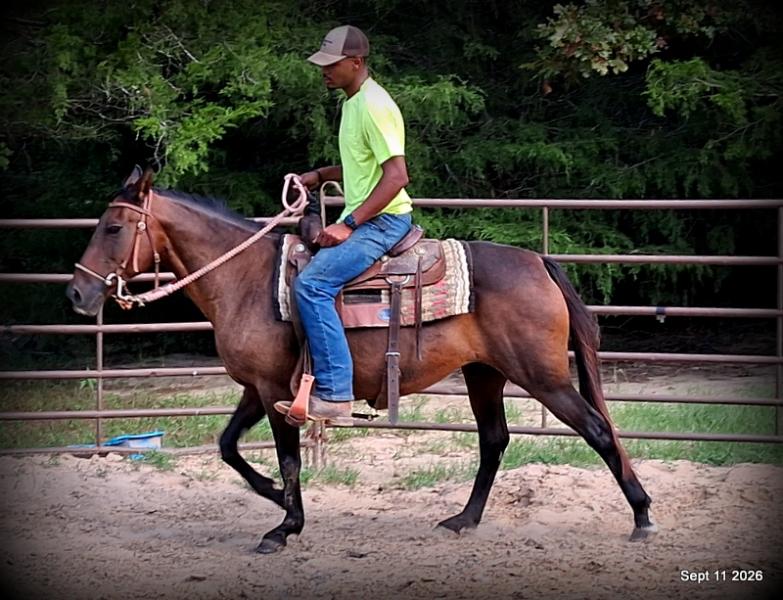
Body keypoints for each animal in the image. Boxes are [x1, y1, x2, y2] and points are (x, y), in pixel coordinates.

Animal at [66, 167, 656, 554]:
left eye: (114, 227)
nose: (77, 293)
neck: (246, 280)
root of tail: (538, 261)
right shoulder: (256, 388)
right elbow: (229, 446)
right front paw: (276, 499)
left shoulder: (277, 392)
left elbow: (287, 458)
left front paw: (285, 526)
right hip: (484, 373)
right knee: (494, 441)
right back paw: (463, 520)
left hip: (543, 376)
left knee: (597, 430)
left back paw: (643, 516)